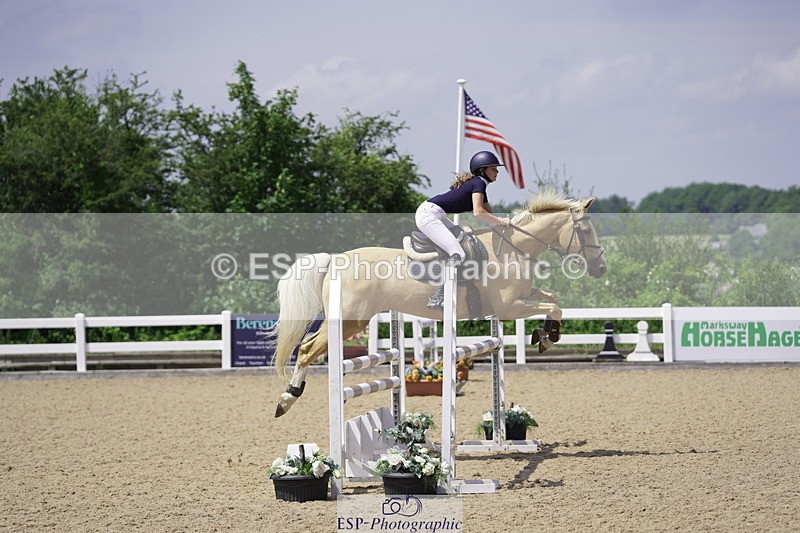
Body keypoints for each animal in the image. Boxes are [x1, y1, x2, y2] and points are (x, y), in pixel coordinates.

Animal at [272, 191, 607, 417]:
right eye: (585, 230)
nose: (601, 268)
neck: (514, 249)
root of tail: (334, 260)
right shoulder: (509, 308)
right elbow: (553, 306)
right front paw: (547, 339)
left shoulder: (521, 300)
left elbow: (553, 301)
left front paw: (544, 335)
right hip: (352, 321)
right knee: (307, 349)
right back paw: (287, 399)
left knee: (309, 346)